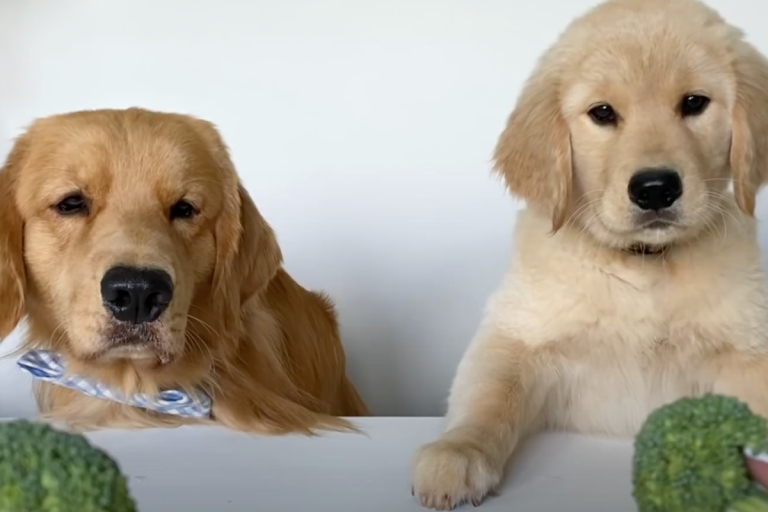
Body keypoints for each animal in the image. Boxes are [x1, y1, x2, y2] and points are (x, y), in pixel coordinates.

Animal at [414, 0, 768, 508]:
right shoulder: (516, 335)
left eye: (694, 103)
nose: (655, 189)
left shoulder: (746, 350)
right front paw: (457, 452)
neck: (643, 262)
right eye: (602, 113)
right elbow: (489, 396)